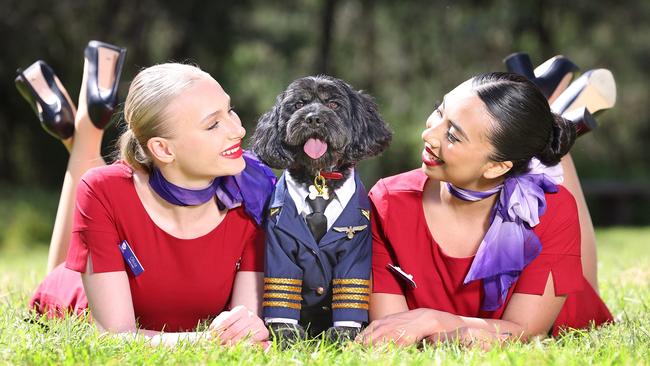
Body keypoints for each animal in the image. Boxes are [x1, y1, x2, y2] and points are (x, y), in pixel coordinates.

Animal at [248, 75, 390, 344]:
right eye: (298, 104)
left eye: (334, 104)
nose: (313, 118)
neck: (319, 178)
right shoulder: (279, 245)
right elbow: (282, 287)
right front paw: (286, 332)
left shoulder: (356, 250)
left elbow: (349, 290)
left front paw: (344, 334)